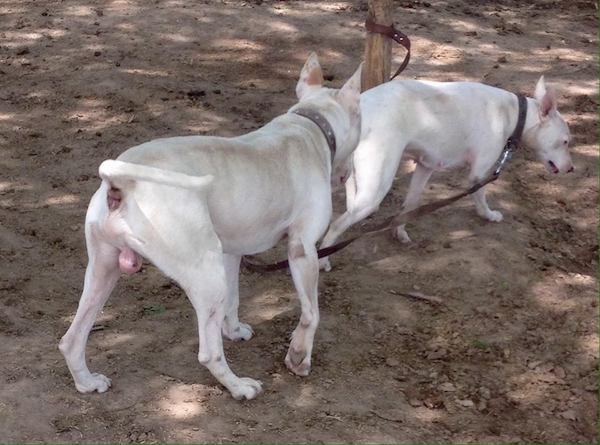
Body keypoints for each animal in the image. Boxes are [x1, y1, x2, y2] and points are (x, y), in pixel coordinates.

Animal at [59, 53, 360, 400]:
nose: (346, 175)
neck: (309, 125)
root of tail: (121, 179)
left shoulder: (231, 253)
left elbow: (233, 299)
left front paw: (235, 330)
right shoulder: (303, 251)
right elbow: (312, 313)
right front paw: (298, 358)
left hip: (105, 270)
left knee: (71, 339)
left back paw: (87, 382)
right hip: (205, 275)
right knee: (209, 353)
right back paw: (240, 387)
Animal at [322, 76, 576, 270]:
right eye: (565, 141)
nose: (571, 168)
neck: (513, 113)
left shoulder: (425, 166)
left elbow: (410, 204)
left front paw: (400, 231)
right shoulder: (478, 174)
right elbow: (480, 197)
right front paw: (489, 215)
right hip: (374, 191)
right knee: (335, 225)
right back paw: (324, 260)